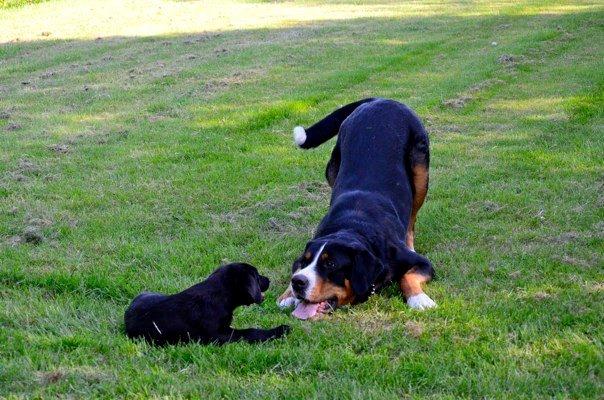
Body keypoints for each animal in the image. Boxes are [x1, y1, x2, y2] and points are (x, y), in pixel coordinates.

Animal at [124, 264, 290, 346]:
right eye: (257, 276)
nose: (268, 280)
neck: (219, 296)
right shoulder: (218, 335)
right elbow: (250, 332)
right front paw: (281, 330)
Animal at [276, 98, 436, 320]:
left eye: (331, 264)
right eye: (305, 262)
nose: (298, 282)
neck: (352, 226)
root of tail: (380, 99)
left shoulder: (422, 263)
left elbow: (408, 276)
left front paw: (419, 299)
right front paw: (287, 295)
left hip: (420, 171)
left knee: (412, 217)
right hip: (332, 169)